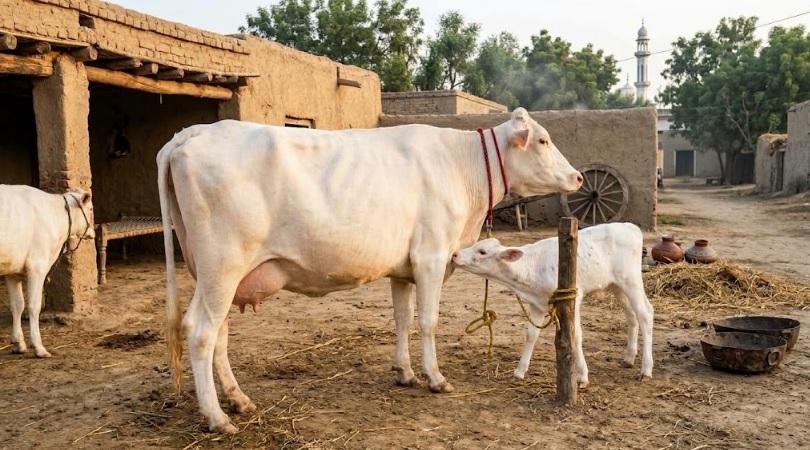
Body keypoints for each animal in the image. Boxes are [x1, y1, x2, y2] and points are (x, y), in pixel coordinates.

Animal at [0, 185, 95, 358]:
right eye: (90, 208)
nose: (93, 232)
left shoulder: (12, 271)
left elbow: (17, 305)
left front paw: (18, 344)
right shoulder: (37, 266)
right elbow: (34, 306)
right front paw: (38, 347)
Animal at [156, 107, 583, 433]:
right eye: (543, 141)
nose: (579, 176)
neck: (464, 167)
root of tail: (192, 133)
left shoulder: (404, 268)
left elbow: (403, 319)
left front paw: (405, 372)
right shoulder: (431, 256)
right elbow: (428, 321)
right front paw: (435, 378)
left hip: (214, 274)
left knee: (218, 334)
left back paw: (238, 400)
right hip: (223, 266)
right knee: (200, 332)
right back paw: (217, 418)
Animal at [451, 222, 654, 388]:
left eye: (482, 252)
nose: (455, 254)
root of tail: (630, 226)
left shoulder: (573, 297)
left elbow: (576, 336)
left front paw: (582, 376)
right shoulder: (537, 304)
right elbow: (531, 335)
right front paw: (519, 371)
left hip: (631, 280)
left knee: (645, 314)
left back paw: (646, 370)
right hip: (616, 285)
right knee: (632, 316)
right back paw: (629, 358)